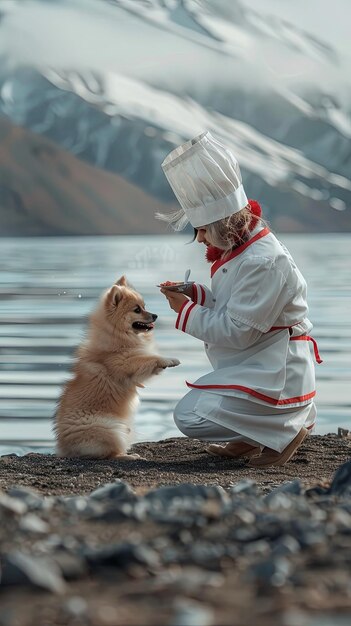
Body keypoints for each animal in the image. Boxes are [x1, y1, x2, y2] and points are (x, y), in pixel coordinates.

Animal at [55, 276, 182, 458]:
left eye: (144, 306)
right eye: (137, 310)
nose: (155, 315)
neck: (117, 337)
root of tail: (65, 449)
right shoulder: (125, 364)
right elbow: (149, 358)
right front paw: (170, 360)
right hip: (111, 429)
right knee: (110, 454)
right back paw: (130, 456)